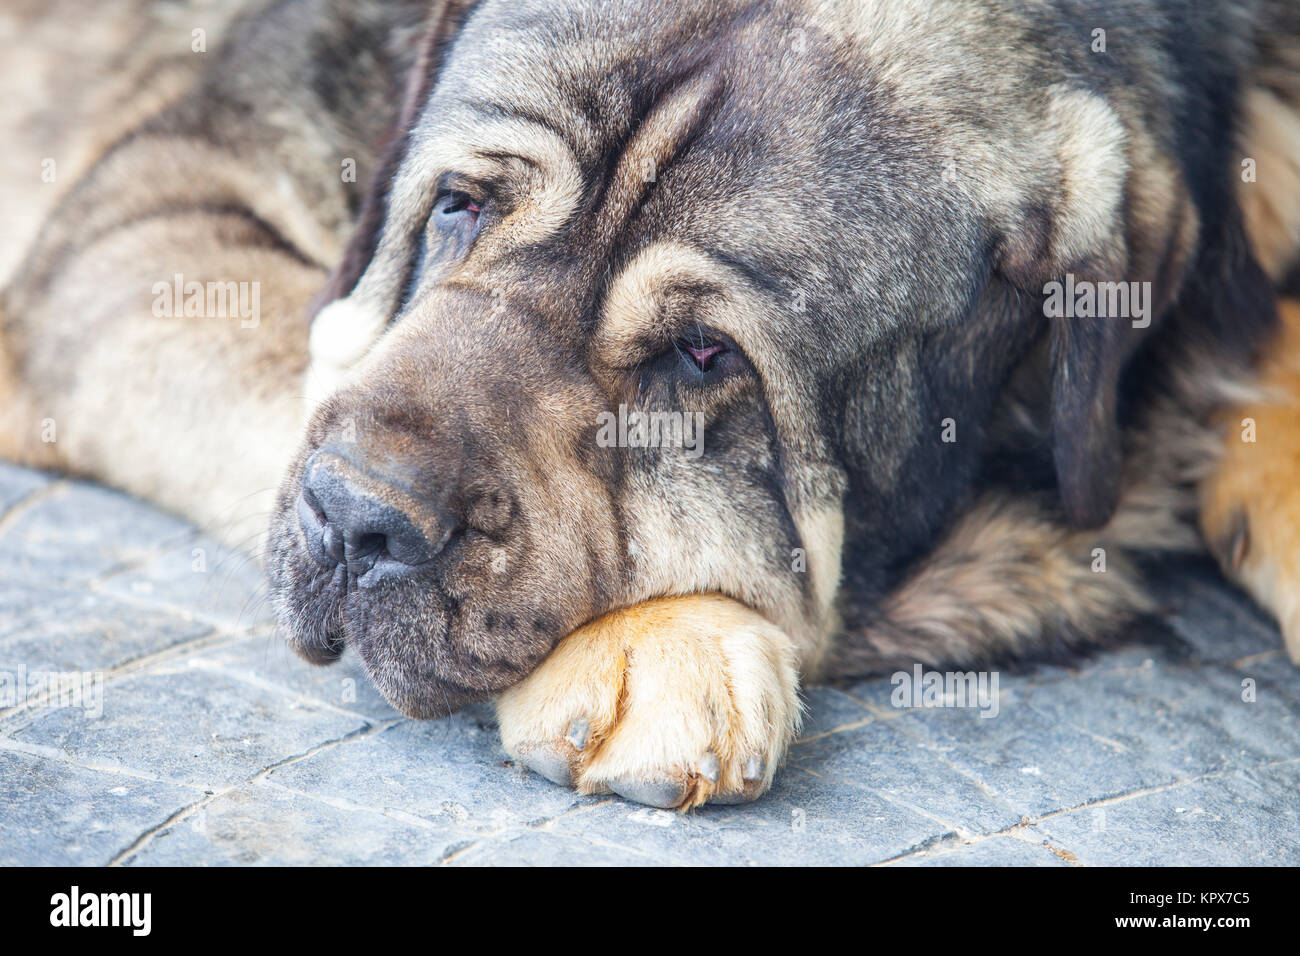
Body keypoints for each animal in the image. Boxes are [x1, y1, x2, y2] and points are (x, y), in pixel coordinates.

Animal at [2, 0, 1300, 811]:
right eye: (457, 204)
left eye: (701, 353)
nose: (351, 519)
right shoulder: (154, 214)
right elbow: (314, 350)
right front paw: (666, 647)